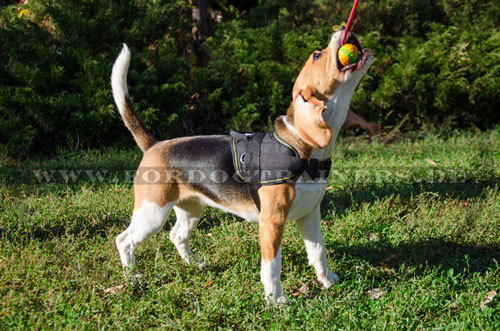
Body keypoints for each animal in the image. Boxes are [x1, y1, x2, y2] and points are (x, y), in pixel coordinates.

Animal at [111, 27, 374, 304]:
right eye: (316, 55)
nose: (344, 29)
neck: (302, 151)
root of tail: (155, 144)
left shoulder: (310, 213)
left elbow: (318, 251)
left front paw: (327, 280)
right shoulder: (271, 222)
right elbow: (272, 266)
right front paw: (276, 300)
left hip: (191, 208)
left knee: (177, 235)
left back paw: (194, 264)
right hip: (152, 212)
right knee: (124, 240)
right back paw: (132, 276)